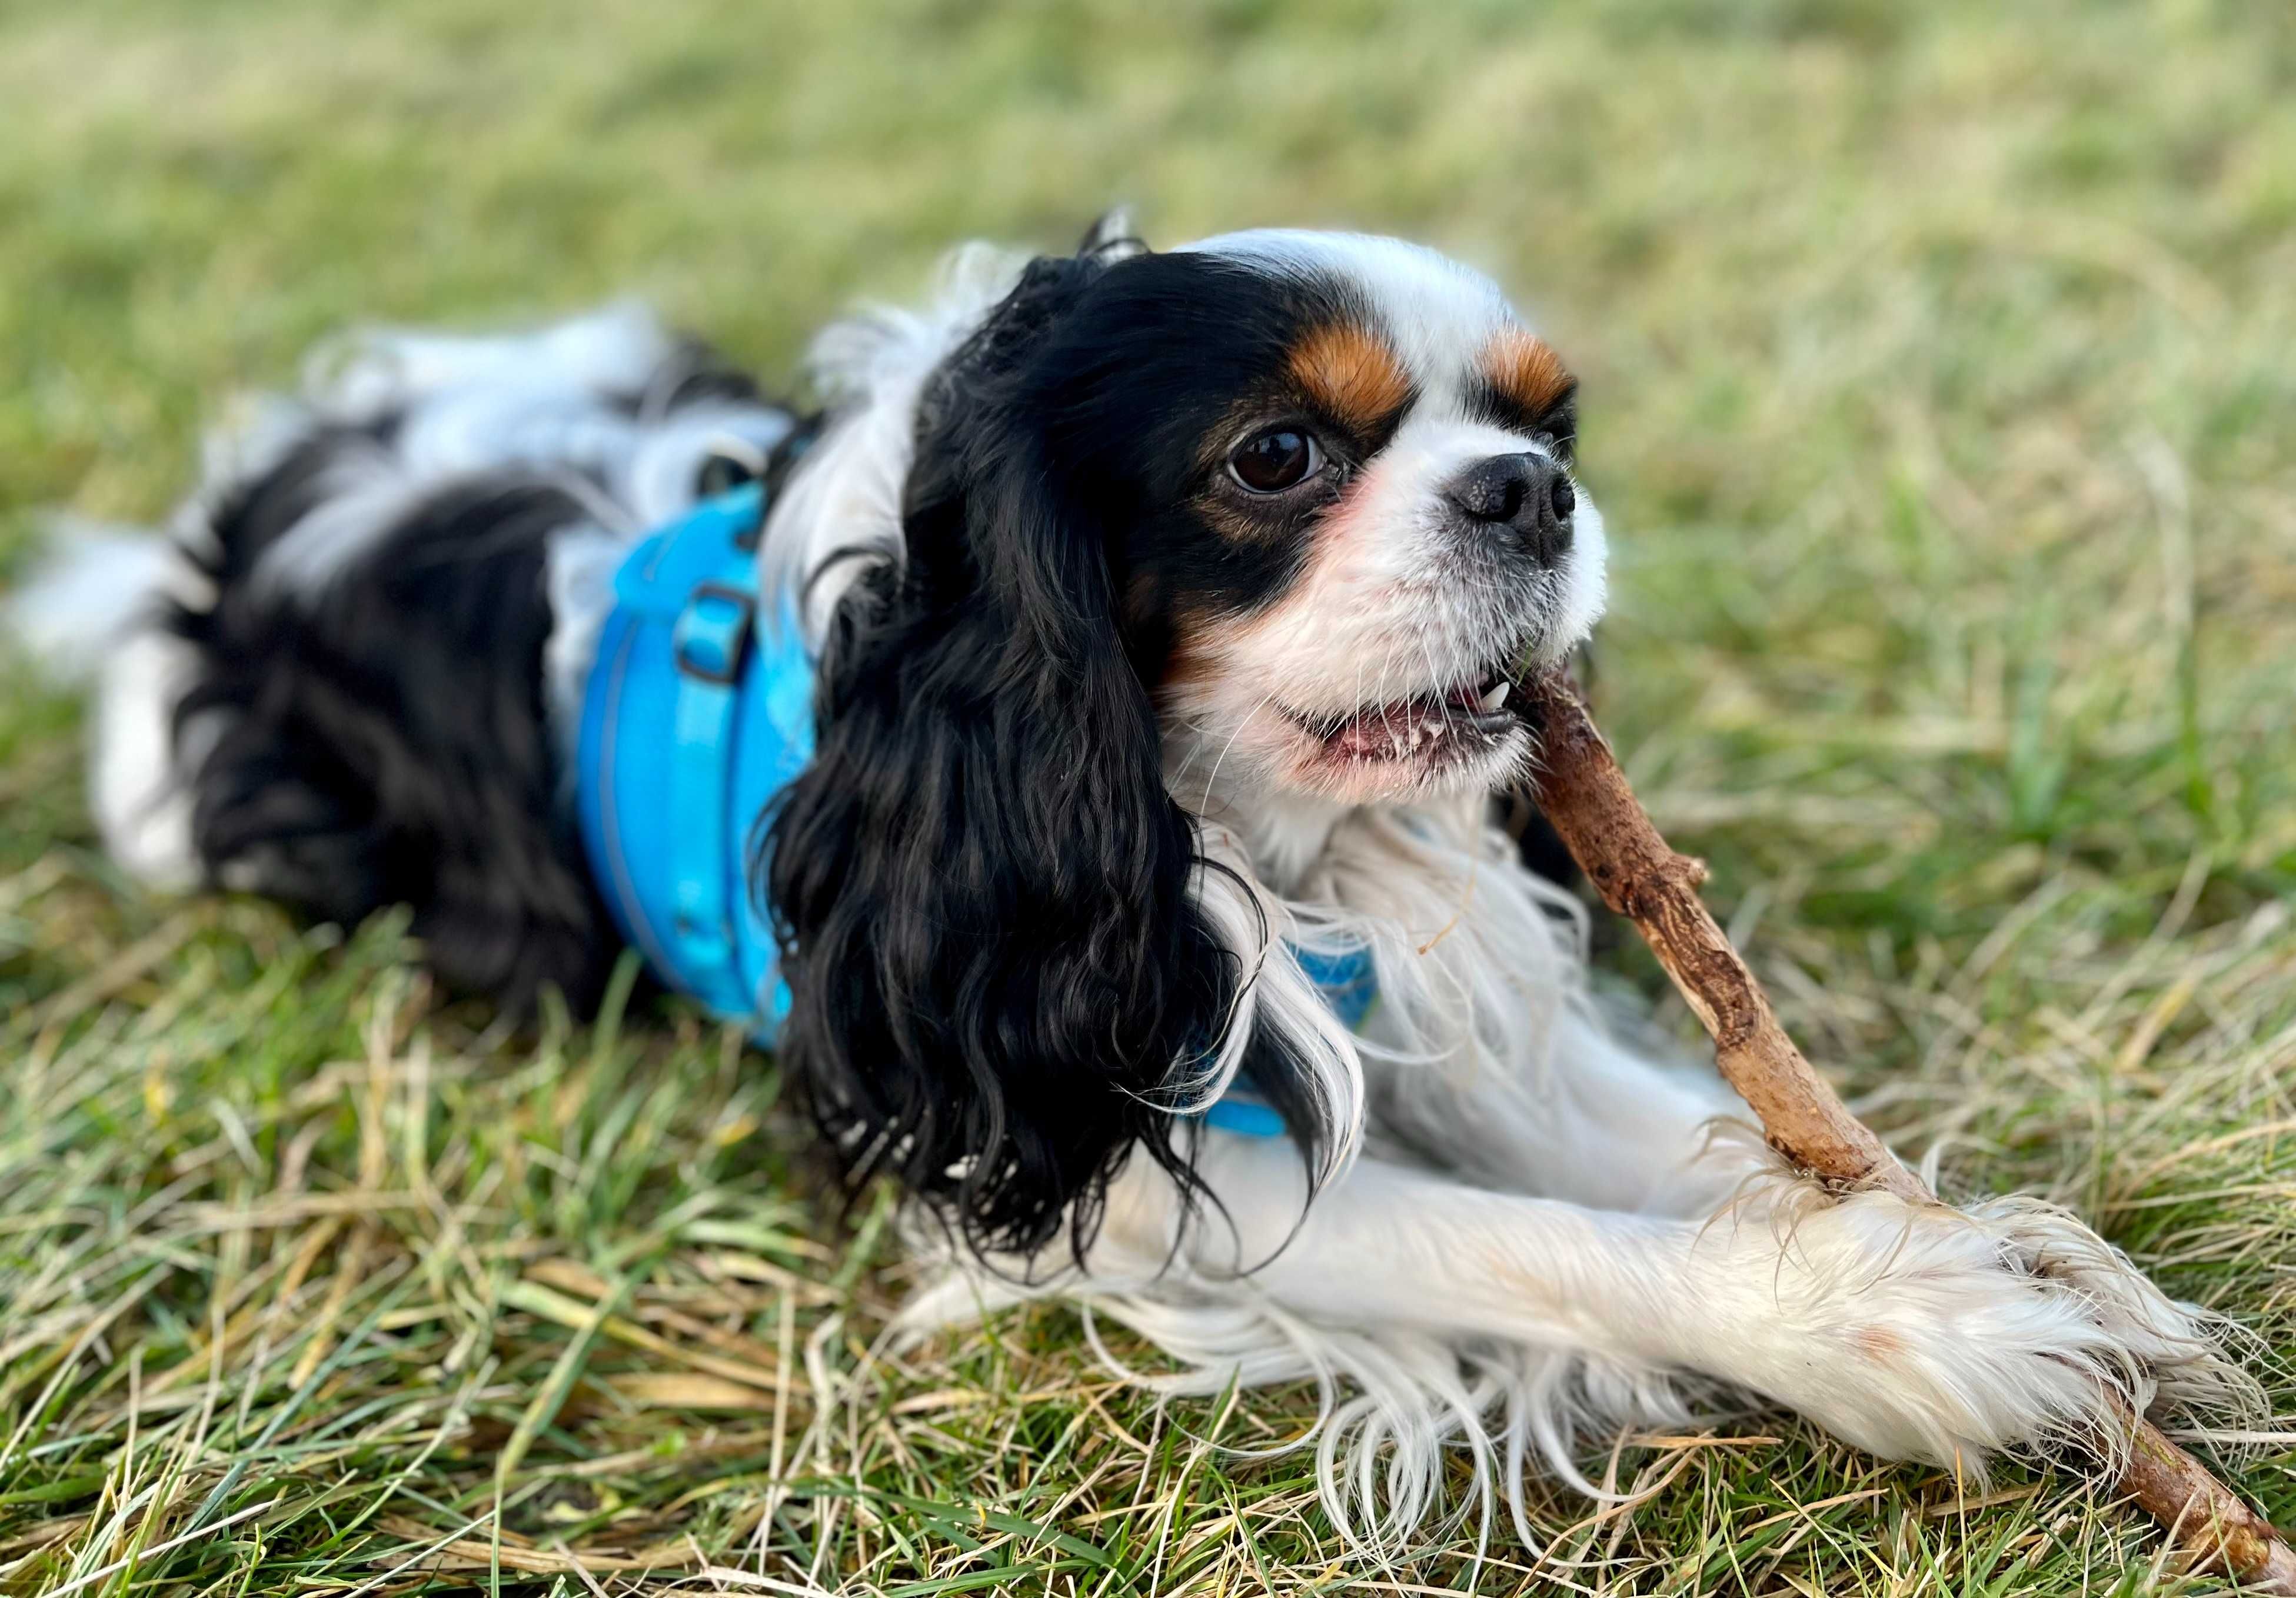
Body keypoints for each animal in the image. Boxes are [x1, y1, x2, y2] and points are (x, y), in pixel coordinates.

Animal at [13, 215, 2241, 1552]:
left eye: (1550, 416)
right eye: (1274, 458)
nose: (1534, 488)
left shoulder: (1436, 995)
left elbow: (1674, 1137)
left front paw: (1991, 1251)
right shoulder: (1088, 1155)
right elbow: (1542, 1240)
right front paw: (1900, 1326)